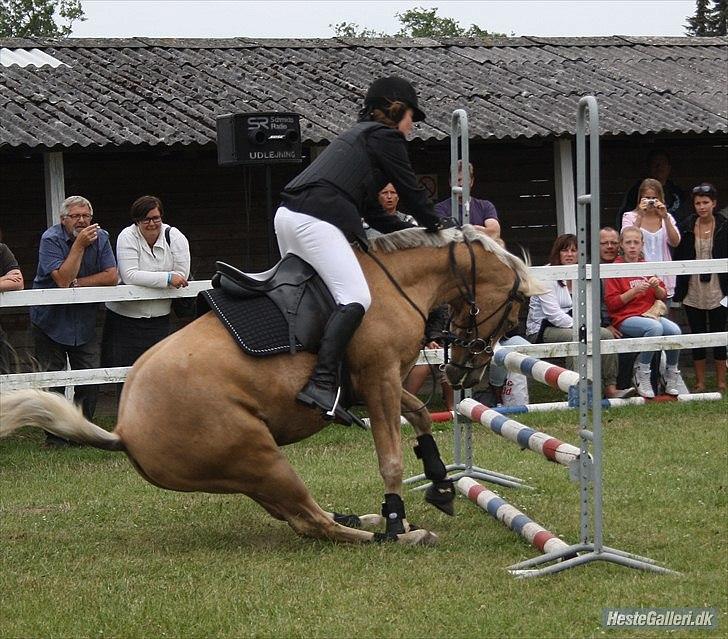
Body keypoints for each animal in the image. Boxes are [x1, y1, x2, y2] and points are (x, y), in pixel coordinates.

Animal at [0, 225, 544, 544]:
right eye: (514, 312)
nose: (467, 373)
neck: (394, 284)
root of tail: (124, 430)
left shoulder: (379, 382)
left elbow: (417, 416)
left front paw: (441, 486)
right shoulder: (379, 377)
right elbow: (390, 456)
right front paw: (398, 516)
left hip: (252, 474)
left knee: (304, 519)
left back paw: (364, 521)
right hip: (260, 457)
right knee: (311, 524)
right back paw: (386, 533)